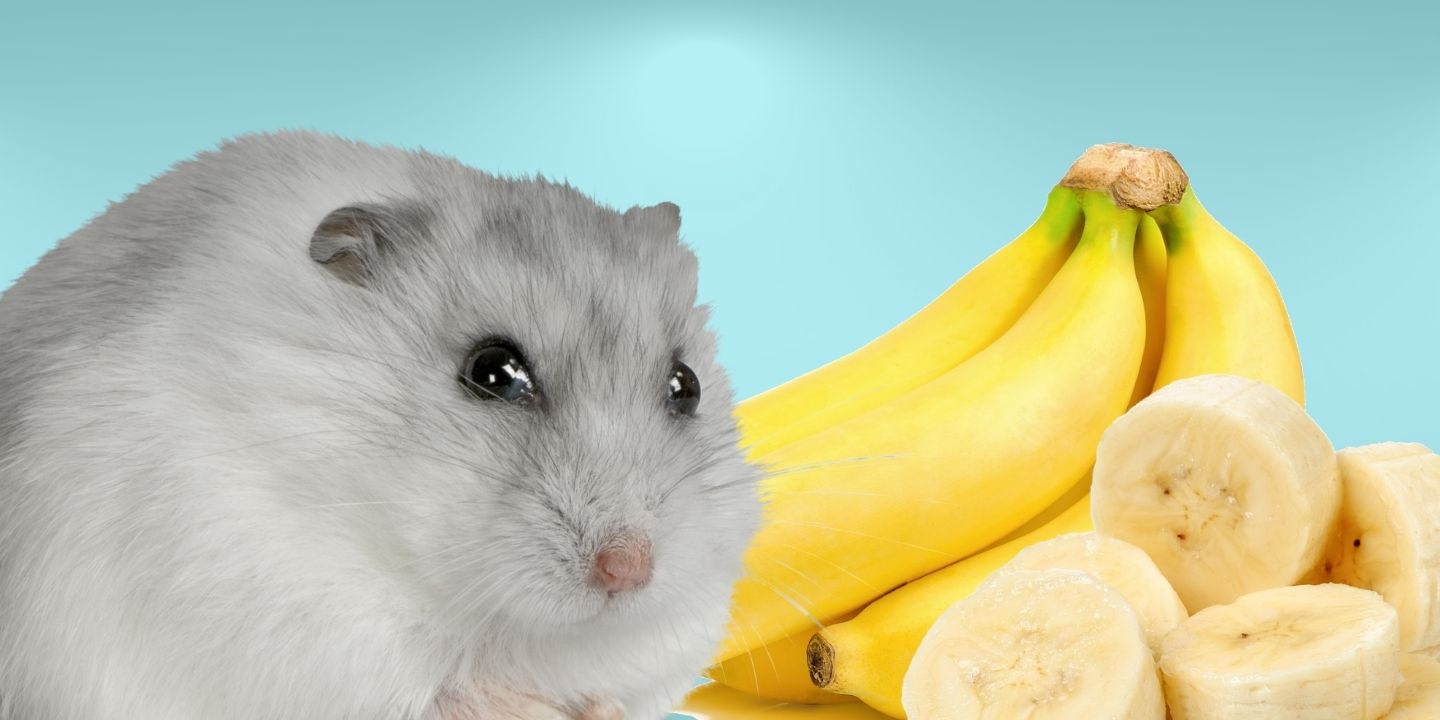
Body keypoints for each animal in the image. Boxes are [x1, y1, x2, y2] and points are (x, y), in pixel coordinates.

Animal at [0, 132, 762, 720]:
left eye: (686, 386)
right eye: (491, 372)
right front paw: (526, 706)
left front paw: (596, 708)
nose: (628, 572)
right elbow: (432, 687)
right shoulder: (271, 603)